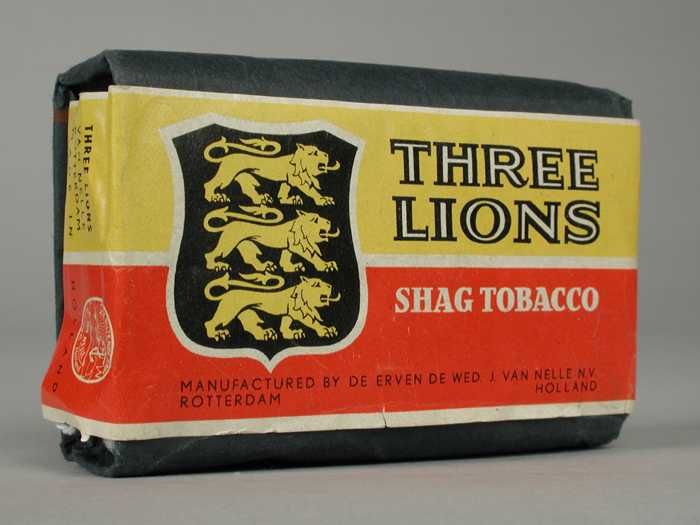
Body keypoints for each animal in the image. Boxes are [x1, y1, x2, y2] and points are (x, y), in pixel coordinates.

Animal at [203, 137, 341, 207]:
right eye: (314, 153)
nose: (327, 155)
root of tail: (225, 157)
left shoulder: (287, 181)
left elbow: (283, 191)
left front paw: (288, 200)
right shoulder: (297, 180)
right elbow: (312, 190)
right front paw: (322, 200)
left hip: (242, 176)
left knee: (248, 189)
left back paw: (261, 199)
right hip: (227, 175)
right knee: (209, 184)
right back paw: (214, 197)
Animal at [203, 205, 340, 274]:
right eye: (315, 220)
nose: (329, 222)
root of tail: (227, 225)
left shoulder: (288, 247)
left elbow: (285, 258)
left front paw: (292, 268)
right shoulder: (297, 246)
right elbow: (312, 255)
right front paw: (325, 265)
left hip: (245, 244)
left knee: (251, 258)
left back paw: (265, 266)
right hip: (228, 244)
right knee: (210, 254)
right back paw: (216, 265)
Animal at [204, 272, 341, 342]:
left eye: (323, 282)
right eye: (316, 284)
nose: (330, 286)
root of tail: (225, 294)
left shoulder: (288, 315)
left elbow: (284, 325)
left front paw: (292, 333)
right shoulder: (298, 313)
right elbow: (313, 322)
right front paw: (325, 330)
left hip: (247, 312)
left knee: (250, 326)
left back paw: (266, 334)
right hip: (228, 313)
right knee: (209, 323)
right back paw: (217, 334)